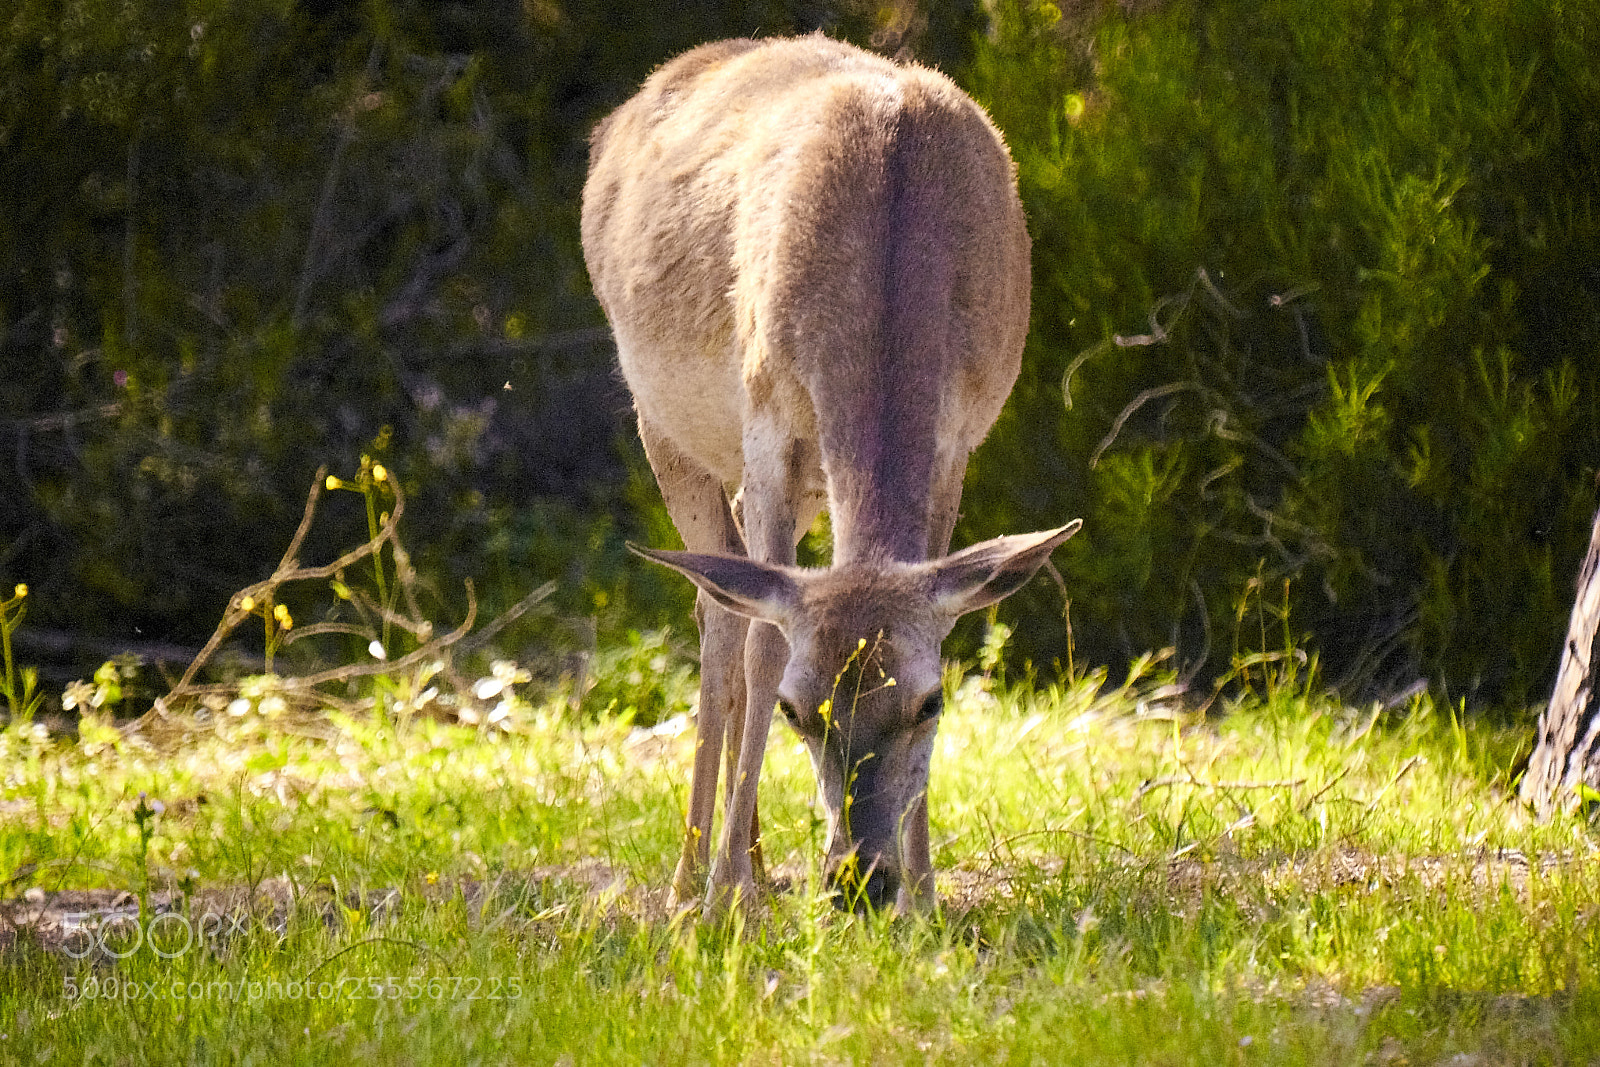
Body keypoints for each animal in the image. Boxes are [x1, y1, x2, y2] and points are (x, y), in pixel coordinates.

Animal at [580, 34, 1080, 914]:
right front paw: (728, 902)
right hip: (661, 425)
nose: (859, 880)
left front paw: (928, 898)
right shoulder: (767, 420)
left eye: (929, 700)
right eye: (797, 711)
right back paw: (695, 882)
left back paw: (755, 861)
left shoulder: (958, 442)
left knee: (725, 594)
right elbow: (762, 647)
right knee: (721, 618)